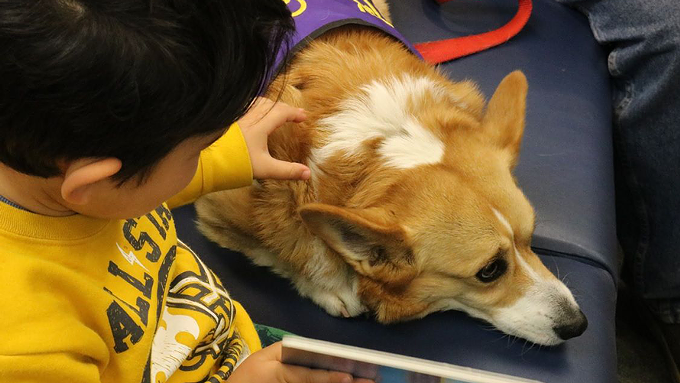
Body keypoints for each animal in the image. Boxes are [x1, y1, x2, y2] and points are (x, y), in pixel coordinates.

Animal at [194, 0, 588, 348]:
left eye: (531, 236)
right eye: (489, 270)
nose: (579, 326)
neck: (384, 140)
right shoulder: (217, 209)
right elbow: (282, 250)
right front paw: (331, 285)